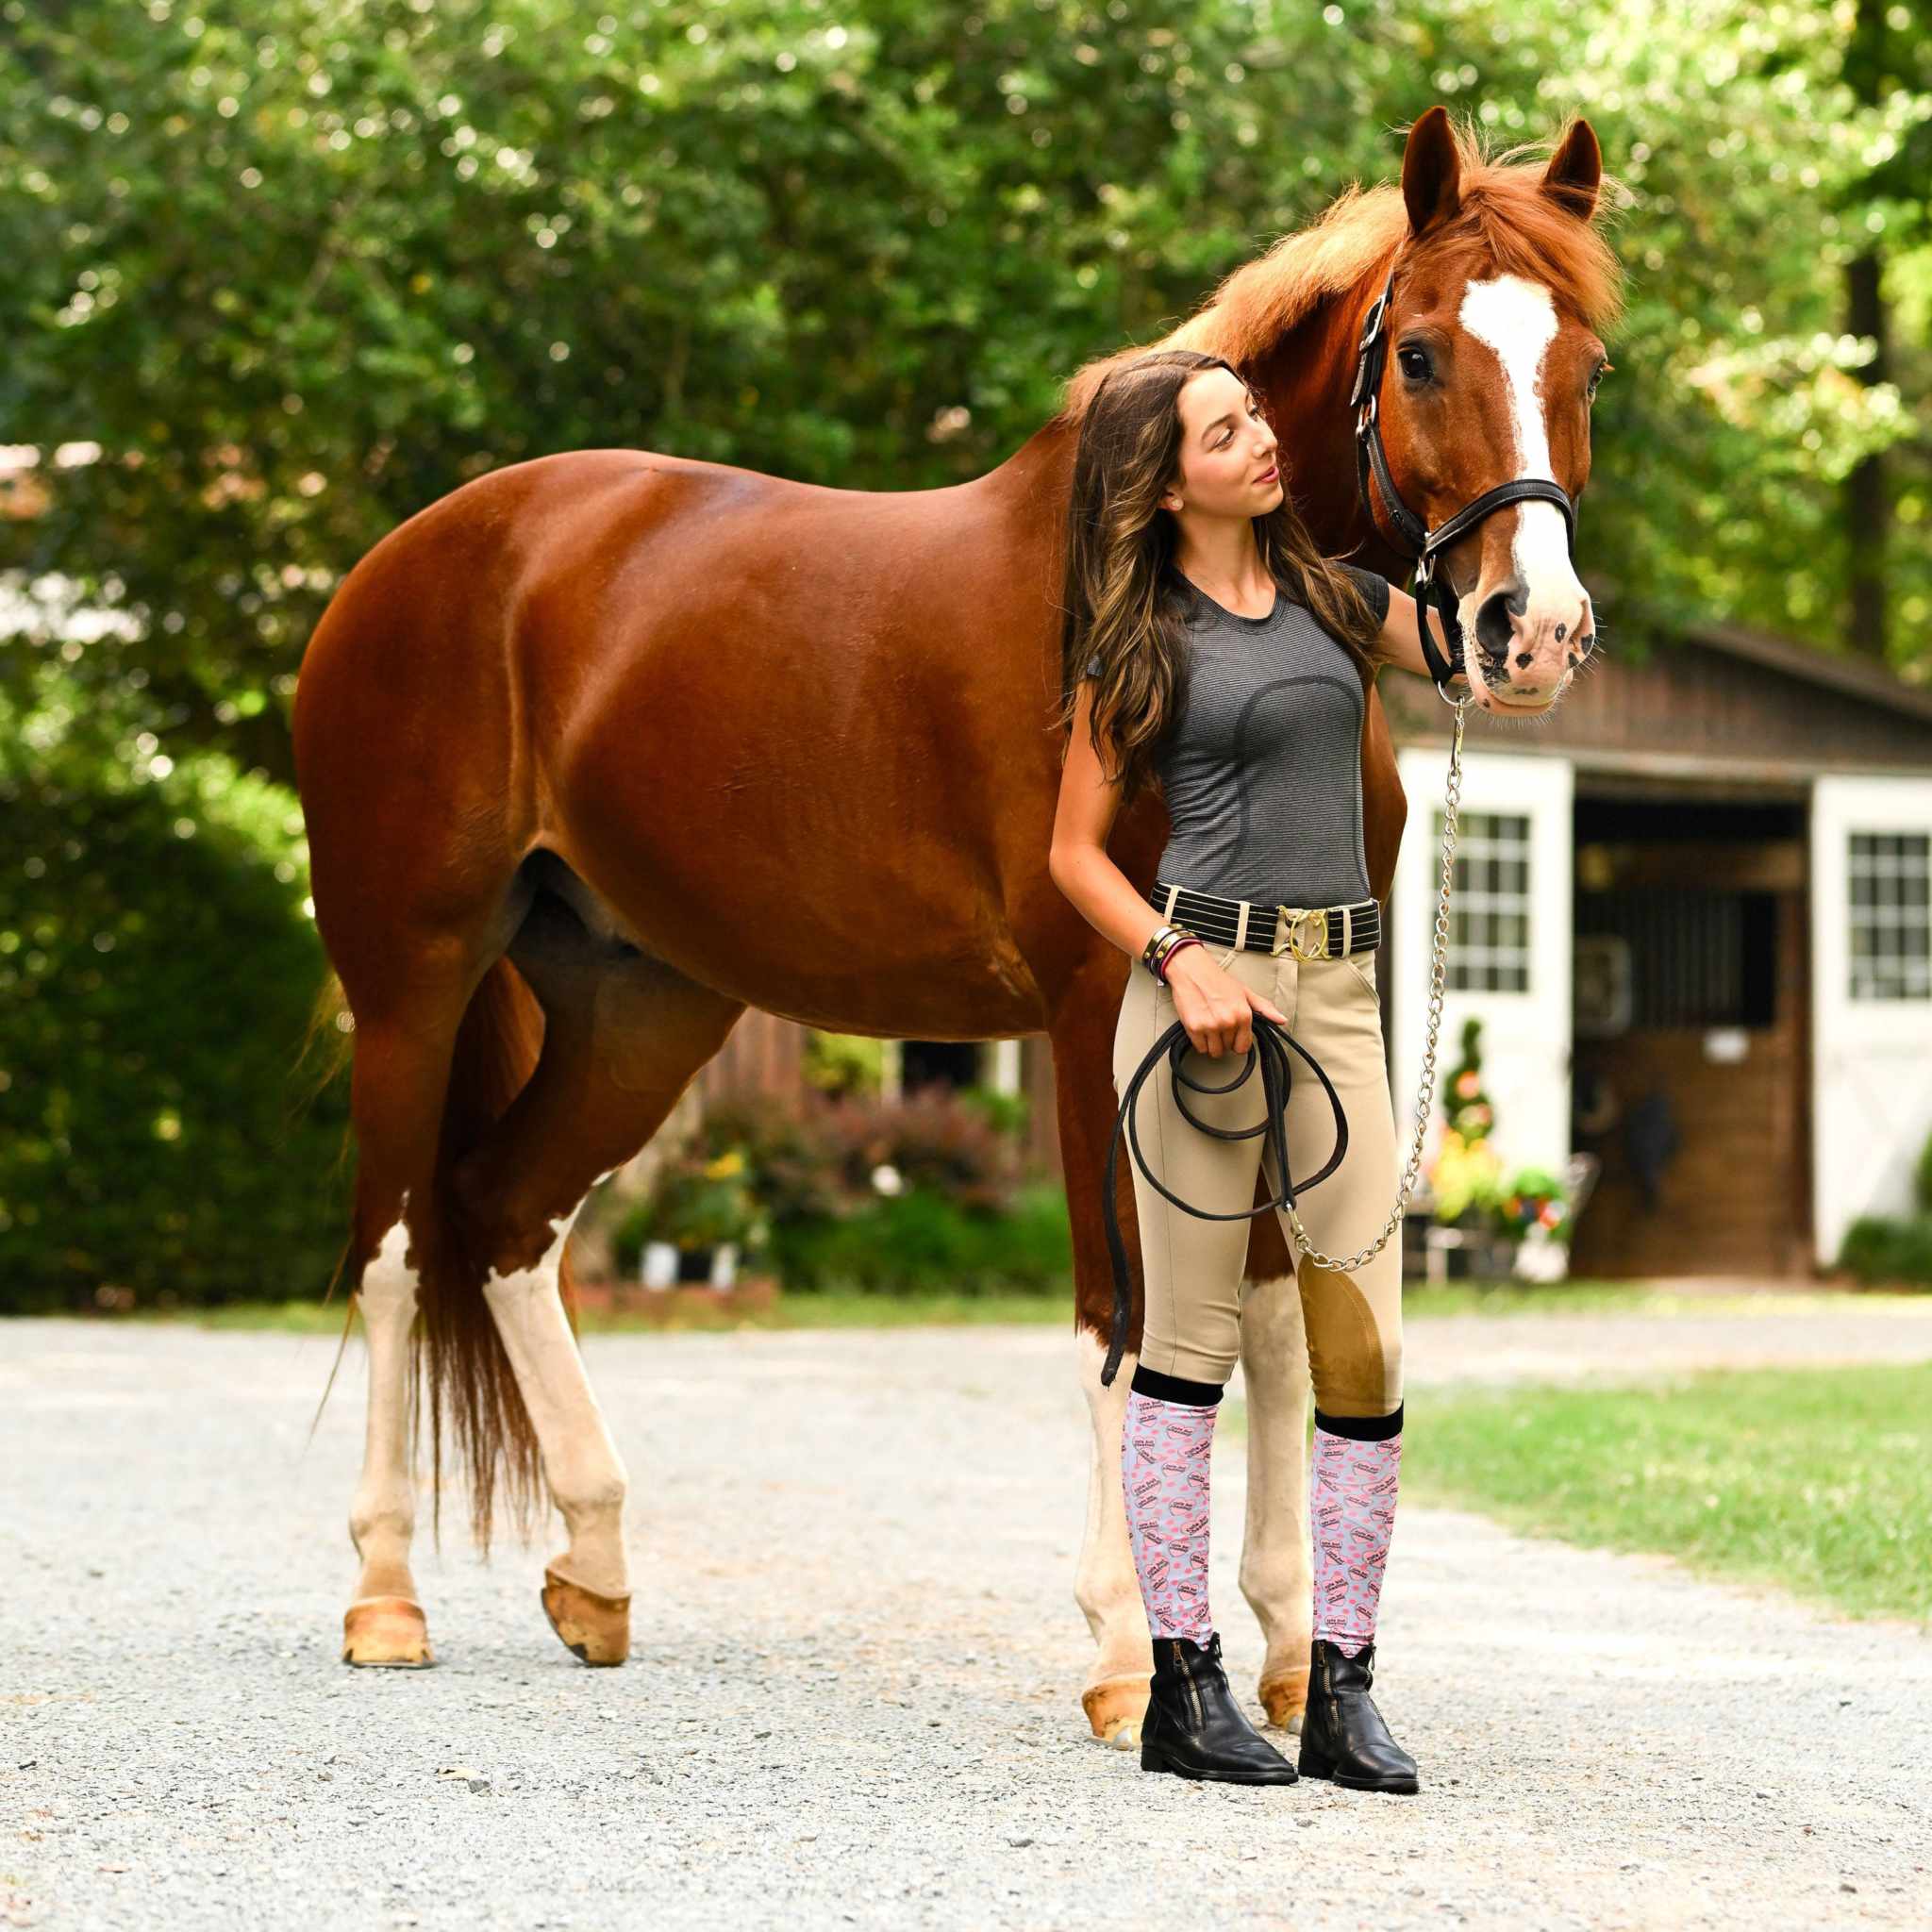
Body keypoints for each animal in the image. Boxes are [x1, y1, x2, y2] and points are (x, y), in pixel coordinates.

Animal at [291, 104, 1623, 1745]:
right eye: (1424, 352)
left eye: (1586, 367)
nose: (1532, 632)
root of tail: (406, 558)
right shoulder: (1105, 1010)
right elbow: (1129, 1317)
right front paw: (1130, 1659)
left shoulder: (1283, 1022)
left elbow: (1271, 1323)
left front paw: (1284, 1648)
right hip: (411, 980)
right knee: (398, 1249)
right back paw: (385, 1600)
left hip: (639, 1005)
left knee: (502, 1220)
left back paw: (594, 1575)